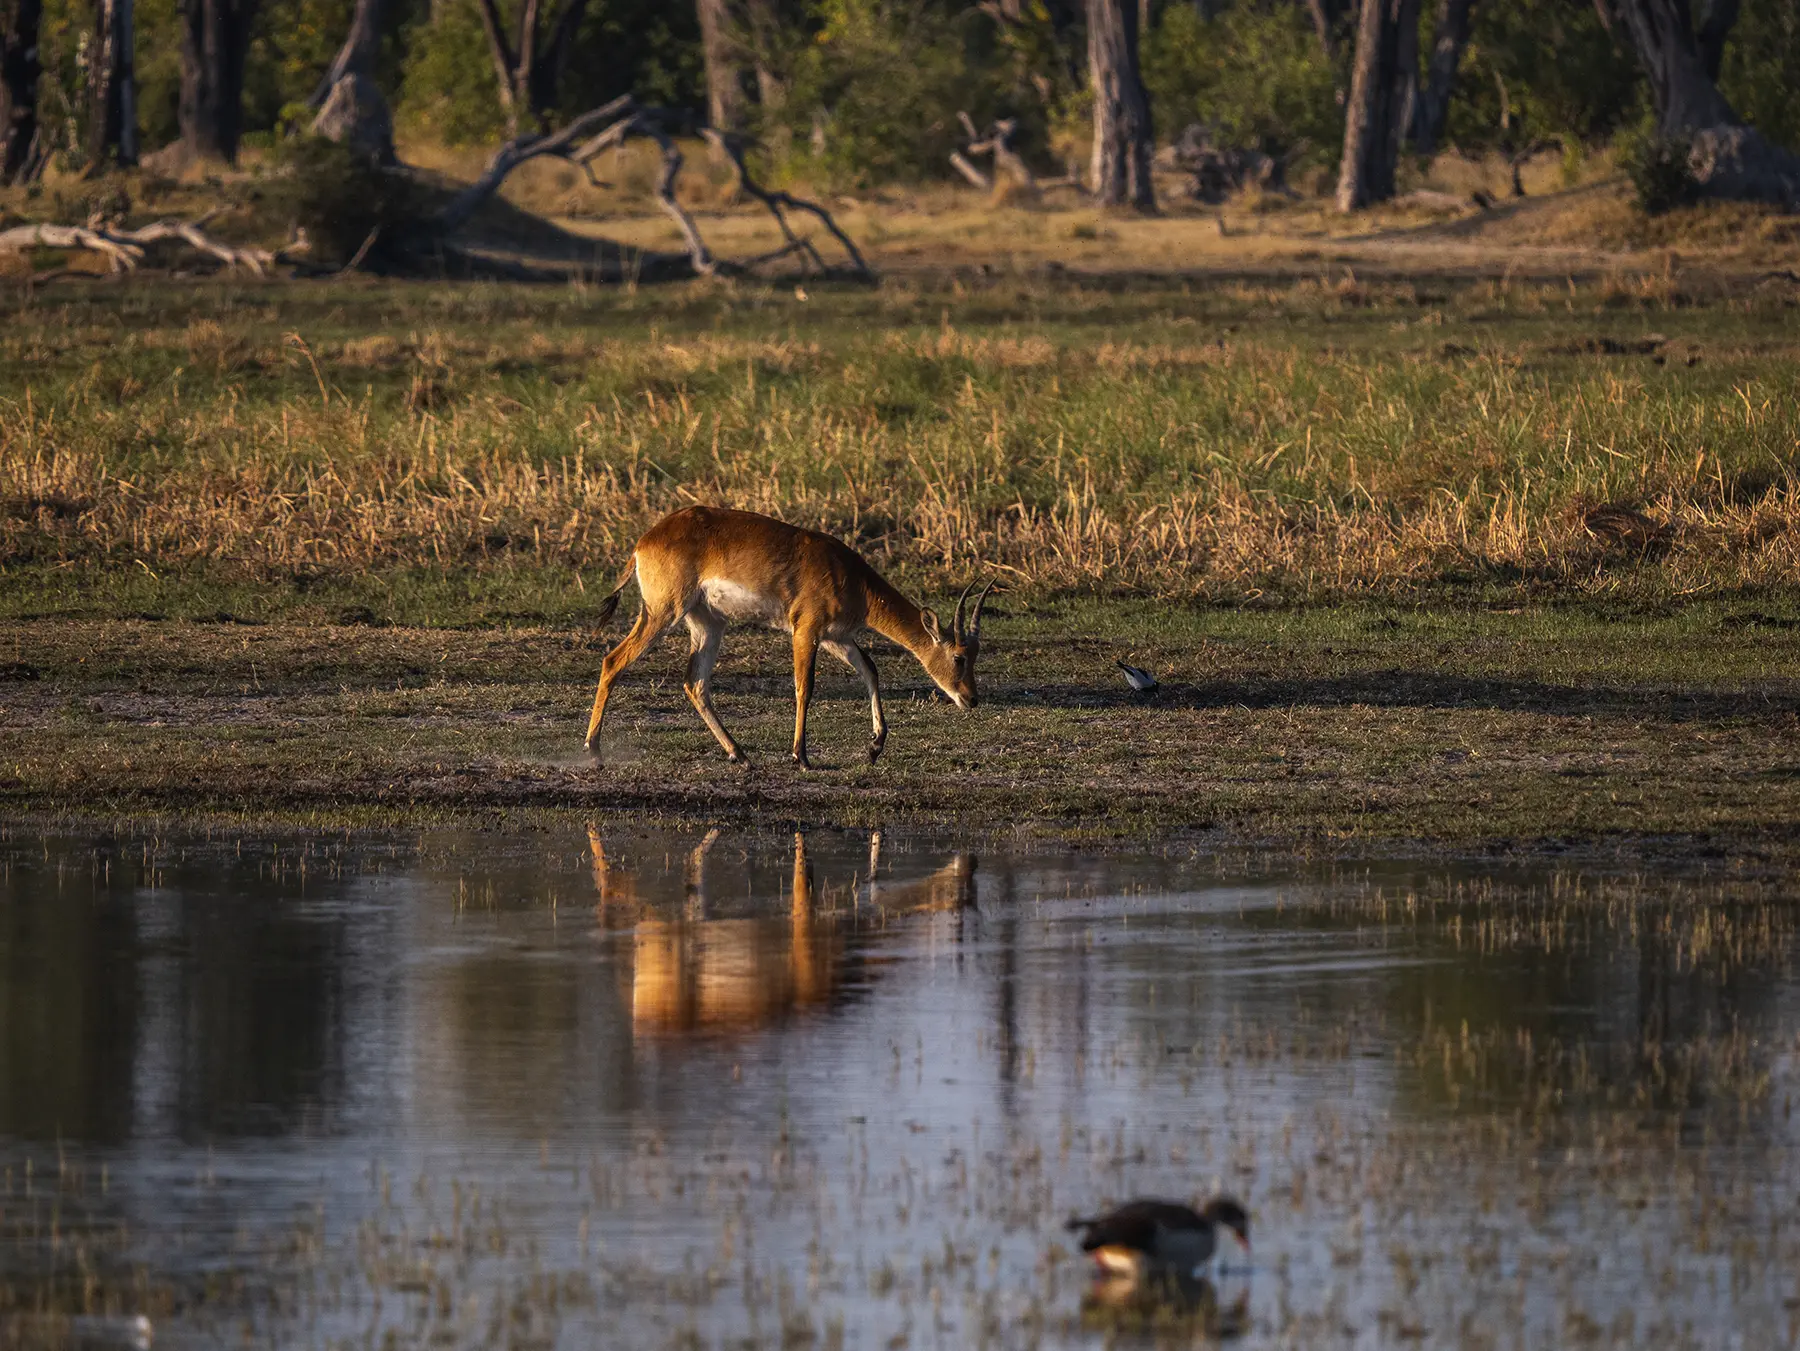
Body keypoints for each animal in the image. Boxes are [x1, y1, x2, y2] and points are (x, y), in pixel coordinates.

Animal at [584, 506, 995, 767]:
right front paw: (802, 756)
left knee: (695, 683)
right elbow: (804, 687)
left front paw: (875, 746)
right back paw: (594, 751)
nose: (972, 699)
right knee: (613, 661)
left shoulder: (836, 637)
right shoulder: (806, 630)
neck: (852, 579)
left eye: (976, 655)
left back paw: (740, 756)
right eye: (959, 656)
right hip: (663, 612)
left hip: (708, 623)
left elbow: (870, 669)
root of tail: (645, 541)